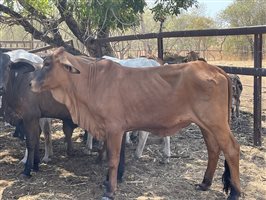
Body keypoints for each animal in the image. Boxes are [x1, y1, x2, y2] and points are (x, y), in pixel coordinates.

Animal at [29, 47, 241, 199]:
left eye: (47, 63)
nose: (30, 83)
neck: (92, 81)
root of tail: (215, 69)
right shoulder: (114, 129)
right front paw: (109, 181)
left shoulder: (114, 128)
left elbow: (113, 159)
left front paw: (110, 190)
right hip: (205, 125)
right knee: (213, 149)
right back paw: (205, 183)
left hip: (216, 123)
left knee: (231, 149)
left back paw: (235, 192)